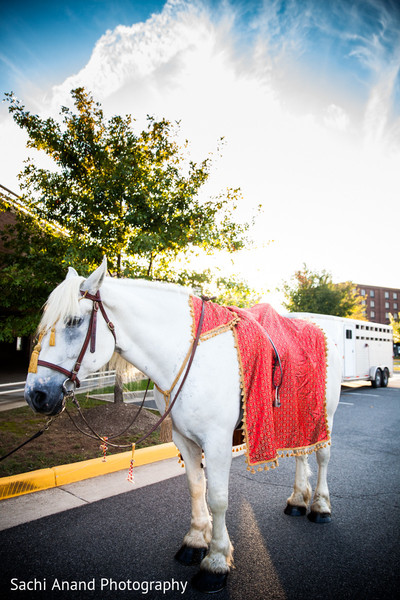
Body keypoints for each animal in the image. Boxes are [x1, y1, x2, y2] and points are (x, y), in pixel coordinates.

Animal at [25, 260, 340, 592]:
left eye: (73, 321)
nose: (36, 395)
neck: (187, 356)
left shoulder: (217, 443)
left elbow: (217, 498)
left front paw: (216, 562)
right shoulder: (183, 439)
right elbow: (195, 487)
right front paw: (195, 541)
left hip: (325, 417)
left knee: (322, 456)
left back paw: (320, 506)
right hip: (299, 418)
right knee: (302, 452)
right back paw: (297, 500)